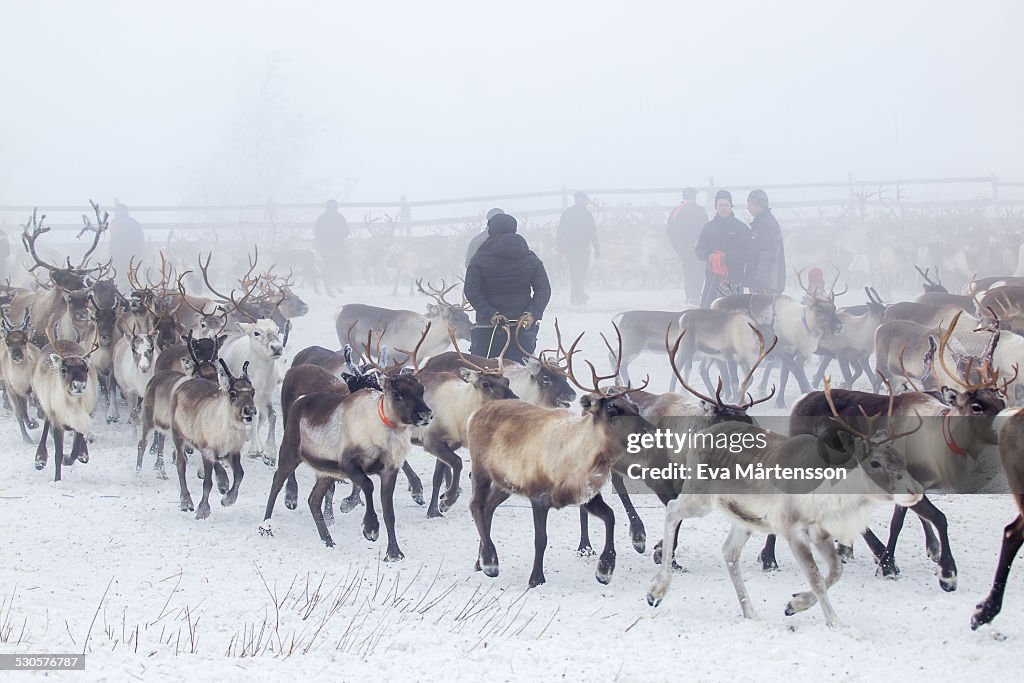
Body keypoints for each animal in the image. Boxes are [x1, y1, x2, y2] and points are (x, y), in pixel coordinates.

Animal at [171, 360, 258, 519]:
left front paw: (228, 499)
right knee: (181, 464)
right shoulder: (208, 450)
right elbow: (207, 483)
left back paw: (223, 483)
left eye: (252, 392)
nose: (250, 411)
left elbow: (240, 474)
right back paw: (186, 502)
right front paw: (202, 510)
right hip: (178, 435)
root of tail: (185, 382)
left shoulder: (233, 450)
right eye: (233, 393)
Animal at [260, 338, 433, 562]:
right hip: (290, 447)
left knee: (313, 499)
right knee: (278, 481)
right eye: (397, 393)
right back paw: (269, 523)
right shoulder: (348, 463)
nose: (425, 414)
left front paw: (394, 552)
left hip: (326, 470)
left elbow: (389, 511)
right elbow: (367, 485)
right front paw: (370, 527)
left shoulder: (388, 469)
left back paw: (328, 540)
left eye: (421, 390)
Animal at [466, 321, 655, 588]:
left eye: (635, 406)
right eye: (611, 409)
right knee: (476, 505)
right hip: (481, 468)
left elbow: (610, 517)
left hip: (506, 482)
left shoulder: (585, 495)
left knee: (488, 508)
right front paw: (536, 579)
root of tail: (479, 411)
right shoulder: (538, 495)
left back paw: (480, 561)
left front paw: (605, 570)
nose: (652, 429)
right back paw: (490, 562)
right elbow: (541, 539)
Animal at [646, 377, 924, 628]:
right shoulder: (792, 528)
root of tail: (702, 434)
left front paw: (794, 604)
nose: (916, 490)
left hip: (744, 516)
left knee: (729, 551)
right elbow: (816, 577)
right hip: (699, 494)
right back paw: (656, 590)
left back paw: (751, 613)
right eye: (875, 462)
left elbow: (835, 572)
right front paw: (835, 623)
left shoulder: (821, 532)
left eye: (899, 458)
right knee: (672, 511)